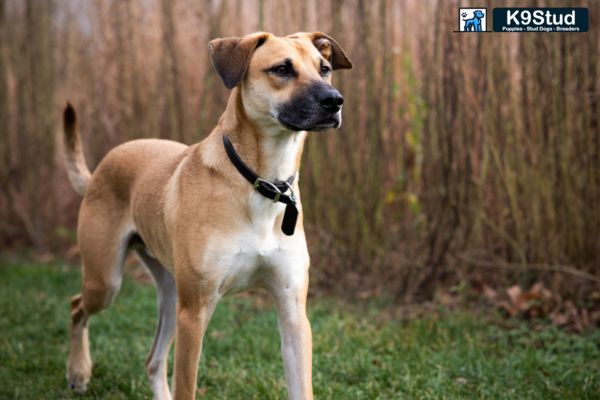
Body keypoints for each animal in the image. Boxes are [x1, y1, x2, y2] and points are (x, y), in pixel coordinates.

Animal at [61, 32, 352, 400]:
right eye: (282, 69)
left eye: (325, 68)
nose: (335, 101)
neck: (261, 183)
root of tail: (101, 167)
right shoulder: (195, 314)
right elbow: (186, 387)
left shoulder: (293, 313)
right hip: (108, 280)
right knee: (77, 307)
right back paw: (78, 371)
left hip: (171, 295)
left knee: (153, 361)